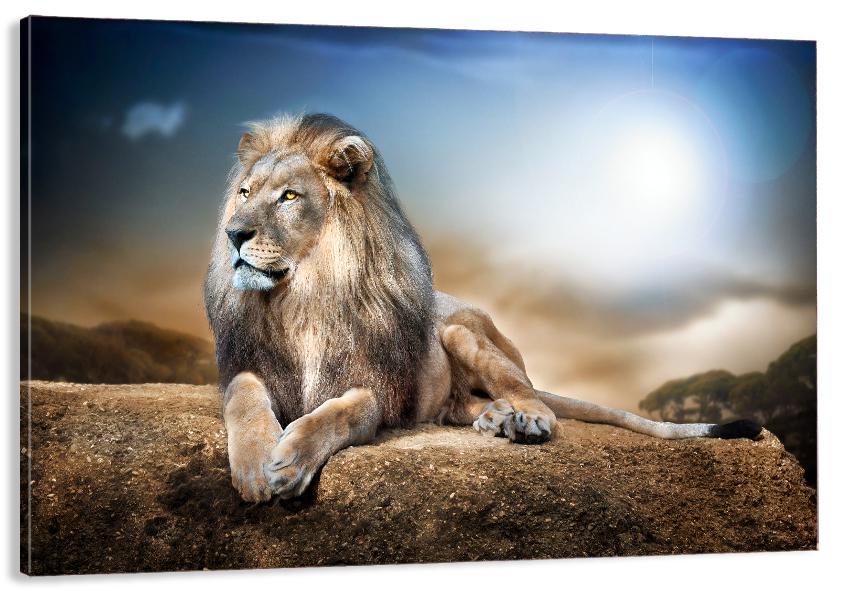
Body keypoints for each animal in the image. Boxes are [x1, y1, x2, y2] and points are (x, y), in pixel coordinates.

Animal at [204, 113, 762, 502]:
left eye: (289, 197)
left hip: (461, 334)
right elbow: (244, 398)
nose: (233, 234)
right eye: (244, 192)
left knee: (534, 397)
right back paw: (495, 419)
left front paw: (290, 461)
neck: (303, 298)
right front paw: (256, 466)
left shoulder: (377, 389)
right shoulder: (249, 365)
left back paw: (524, 420)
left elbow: (338, 414)